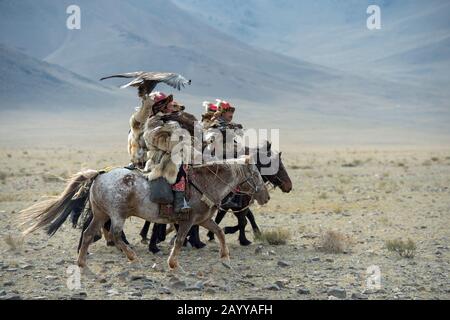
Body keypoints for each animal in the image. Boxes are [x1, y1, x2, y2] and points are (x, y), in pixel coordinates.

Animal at [20, 162, 268, 270]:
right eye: (256, 174)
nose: (265, 197)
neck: (204, 183)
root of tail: (100, 175)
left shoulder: (202, 219)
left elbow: (219, 232)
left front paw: (225, 256)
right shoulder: (187, 221)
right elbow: (180, 240)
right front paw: (172, 262)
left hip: (100, 214)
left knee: (90, 233)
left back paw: (81, 261)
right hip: (116, 215)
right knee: (116, 235)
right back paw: (132, 257)